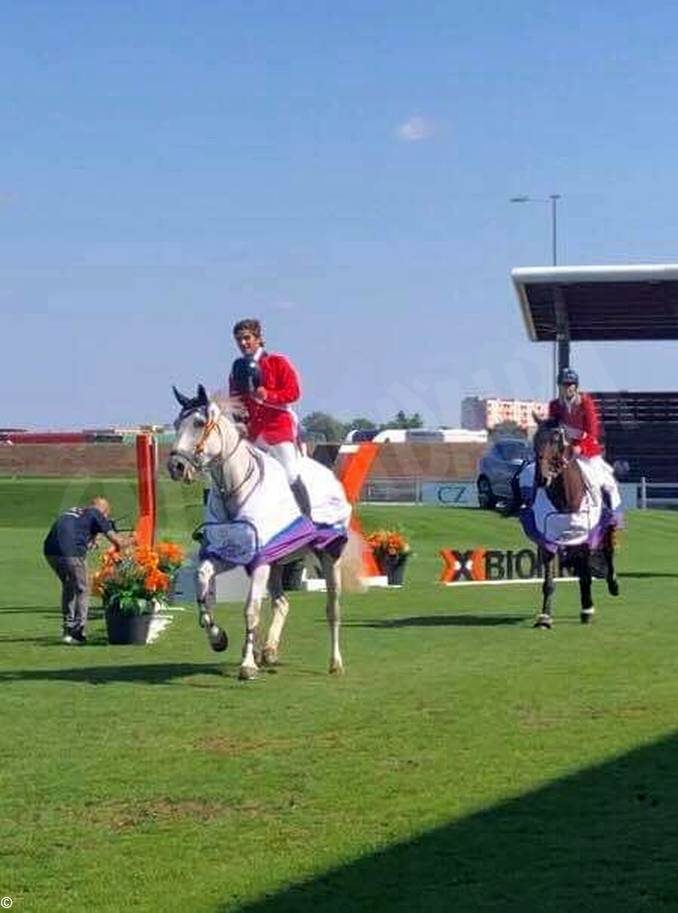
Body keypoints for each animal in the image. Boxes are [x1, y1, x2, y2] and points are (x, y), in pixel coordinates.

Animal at [168, 382, 364, 676]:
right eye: (176, 424)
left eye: (199, 423)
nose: (176, 466)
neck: (234, 491)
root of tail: (332, 478)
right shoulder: (227, 555)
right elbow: (203, 589)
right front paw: (218, 638)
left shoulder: (259, 561)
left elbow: (251, 610)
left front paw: (247, 666)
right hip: (277, 562)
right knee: (282, 603)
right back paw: (268, 651)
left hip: (328, 556)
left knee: (333, 609)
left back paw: (335, 662)